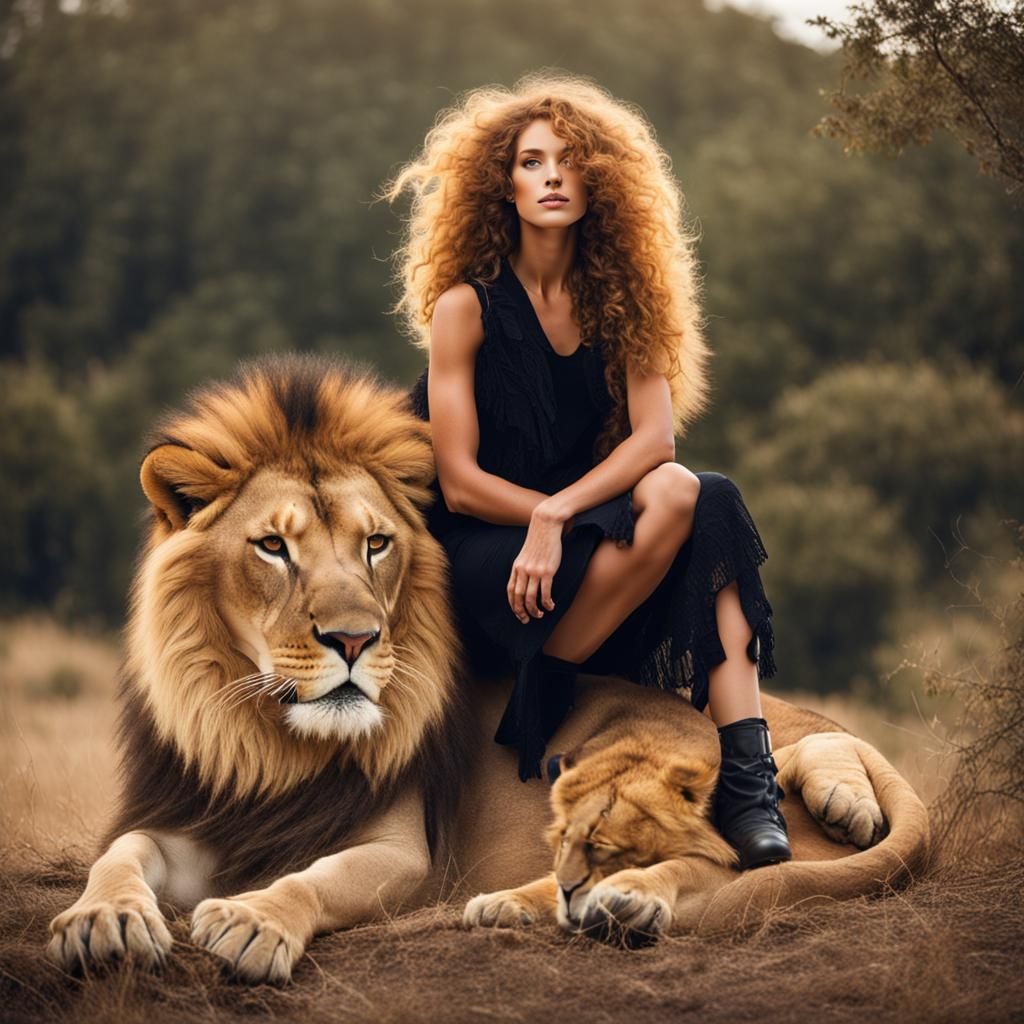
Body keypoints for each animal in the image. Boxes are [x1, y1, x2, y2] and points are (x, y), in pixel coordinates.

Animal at [48, 355, 929, 983]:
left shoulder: (404, 853)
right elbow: (118, 854)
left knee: (718, 851)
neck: (272, 741)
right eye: (272, 547)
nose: (355, 640)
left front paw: (255, 921)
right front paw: (102, 920)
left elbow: (317, 880)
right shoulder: (195, 817)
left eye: (376, 544)